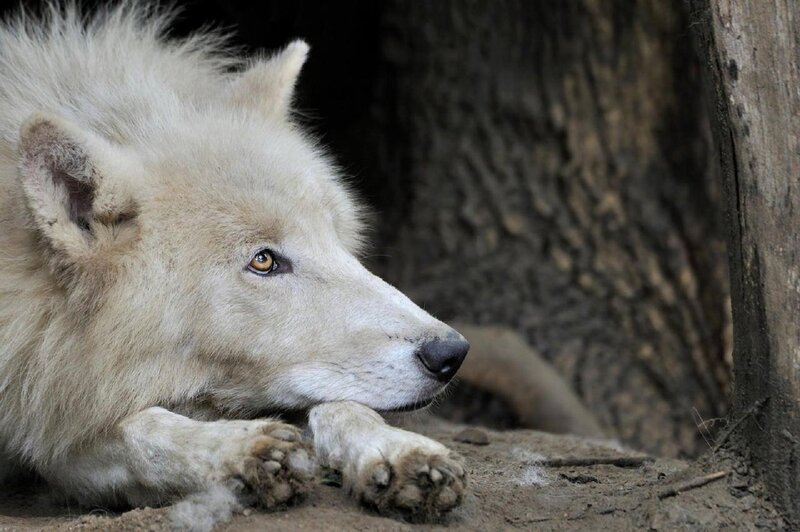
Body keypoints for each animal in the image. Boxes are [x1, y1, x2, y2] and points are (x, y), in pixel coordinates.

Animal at [0, 4, 470, 519]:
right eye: (263, 261)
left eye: (334, 240)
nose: (451, 353)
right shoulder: (49, 414)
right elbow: (137, 429)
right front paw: (239, 449)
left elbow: (342, 405)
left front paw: (396, 450)